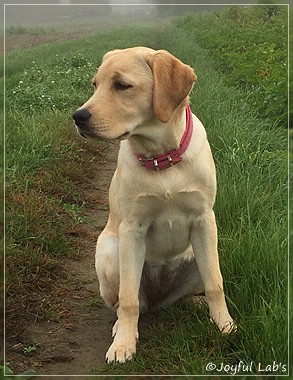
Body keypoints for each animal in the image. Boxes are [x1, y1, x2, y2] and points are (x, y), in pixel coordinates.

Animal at [73, 46, 235, 362]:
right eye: (95, 85)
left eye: (122, 85)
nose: (78, 116)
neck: (163, 159)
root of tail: (160, 298)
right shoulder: (132, 228)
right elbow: (128, 300)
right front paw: (123, 344)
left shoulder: (204, 220)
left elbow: (215, 283)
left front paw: (225, 325)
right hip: (110, 251)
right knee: (127, 301)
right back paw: (120, 327)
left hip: (203, 252)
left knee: (190, 291)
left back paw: (196, 305)